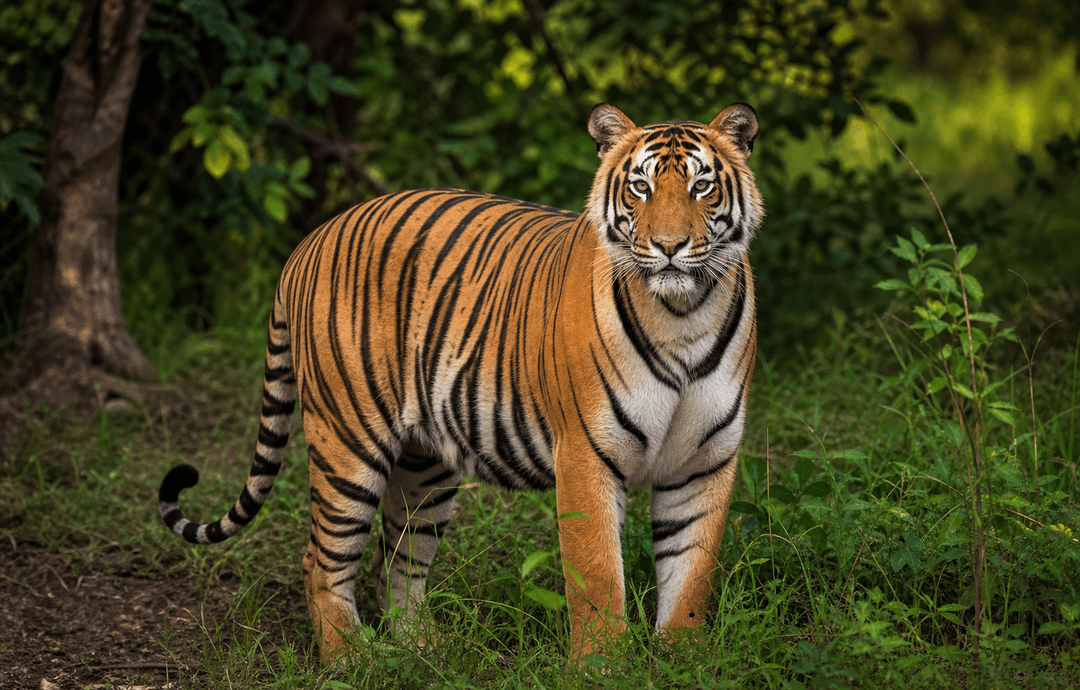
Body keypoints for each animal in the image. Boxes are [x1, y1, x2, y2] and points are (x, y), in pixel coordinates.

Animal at [158, 102, 762, 662]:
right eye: (640, 187)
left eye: (702, 186)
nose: (669, 247)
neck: (683, 315)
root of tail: (309, 241)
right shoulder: (586, 455)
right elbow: (597, 577)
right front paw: (602, 666)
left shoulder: (704, 460)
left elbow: (692, 571)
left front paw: (685, 658)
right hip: (347, 442)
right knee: (321, 560)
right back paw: (349, 658)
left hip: (425, 464)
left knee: (396, 561)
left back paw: (423, 648)